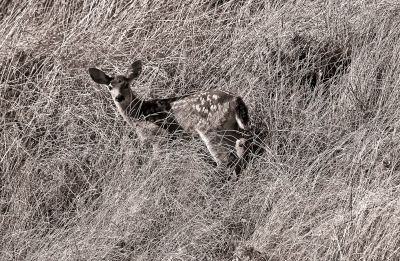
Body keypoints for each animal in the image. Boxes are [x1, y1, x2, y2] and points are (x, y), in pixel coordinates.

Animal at [88, 60, 252, 174]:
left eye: (126, 85)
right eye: (110, 87)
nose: (119, 97)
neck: (139, 115)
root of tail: (235, 99)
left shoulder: (159, 136)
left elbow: (156, 160)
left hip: (209, 128)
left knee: (224, 159)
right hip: (228, 127)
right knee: (241, 143)